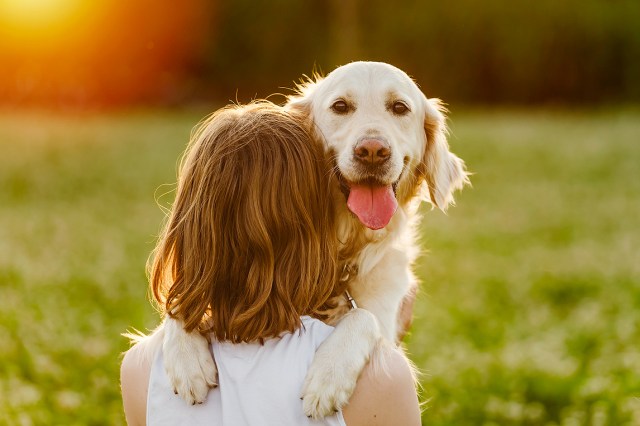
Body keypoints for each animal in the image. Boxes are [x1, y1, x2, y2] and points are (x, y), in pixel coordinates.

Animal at [162, 61, 468, 418]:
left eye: (399, 108)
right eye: (340, 106)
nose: (372, 151)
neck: (344, 248)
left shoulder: (384, 312)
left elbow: (362, 316)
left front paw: (328, 376)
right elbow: (179, 301)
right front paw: (187, 361)